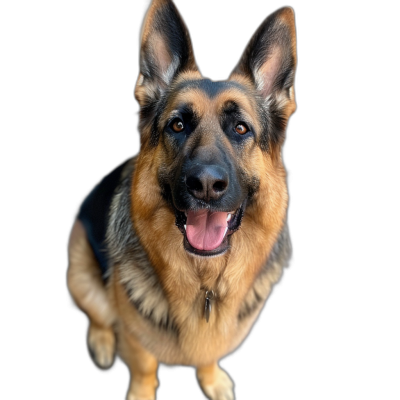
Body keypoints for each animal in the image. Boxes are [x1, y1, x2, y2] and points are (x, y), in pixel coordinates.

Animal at [66, 0, 296, 396]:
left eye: (241, 129)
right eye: (178, 125)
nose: (205, 184)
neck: (205, 283)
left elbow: (209, 353)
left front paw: (212, 379)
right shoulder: (135, 335)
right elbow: (144, 367)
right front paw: (140, 394)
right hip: (80, 273)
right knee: (99, 313)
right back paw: (102, 342)